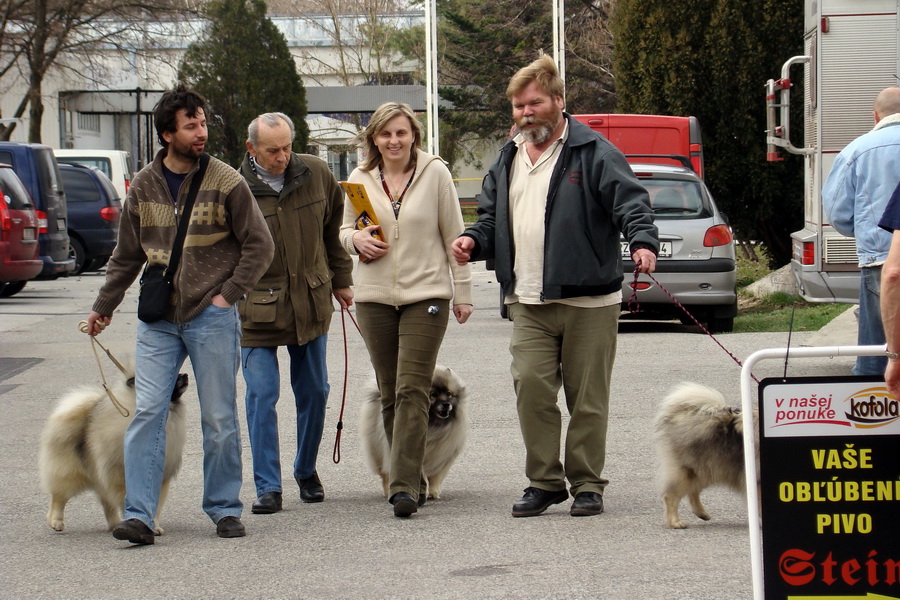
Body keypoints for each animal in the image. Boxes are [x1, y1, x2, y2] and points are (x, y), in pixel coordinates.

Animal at [37, 370, 189, 536]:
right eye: (172, 377)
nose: (186, 375)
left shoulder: (160, 478)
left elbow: (155, 504)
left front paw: (153, 525)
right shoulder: (120, 476)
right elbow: (129, 499)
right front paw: (138, 522)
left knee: (107, 503)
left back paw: (115, 523)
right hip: (70, 471)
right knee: (59, 497)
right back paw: (56, 522)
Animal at [360, 366, 472, 502]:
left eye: (449, 394)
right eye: (433, 395)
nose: (446, 404)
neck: (432, 426)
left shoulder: (442, 458)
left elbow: (435, 478)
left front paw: (433, 492)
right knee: (385, 475)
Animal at [652, 382, 756, 528]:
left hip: (708, 469)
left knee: (693, 491)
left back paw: (702, 513)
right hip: (694, 470)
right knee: (671, 495)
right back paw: (675, 522)